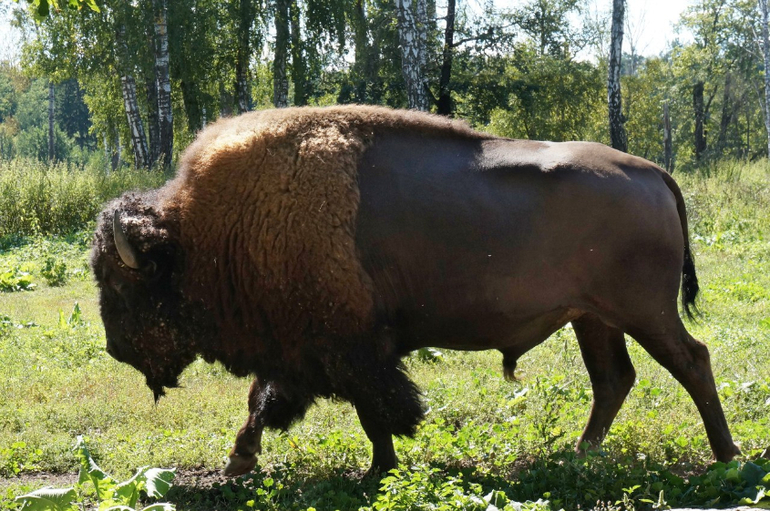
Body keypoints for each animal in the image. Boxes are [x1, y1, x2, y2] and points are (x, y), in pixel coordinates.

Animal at [91, 105, 740, 478]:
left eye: (121, 284)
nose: (117, 349)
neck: (207, 231)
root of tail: (653, 173)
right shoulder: (311, 349)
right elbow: (269, 402)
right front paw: (240, 461)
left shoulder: (347, 347)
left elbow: (371, 410)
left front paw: (377, 471)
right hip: (593, 317)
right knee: (613, 381)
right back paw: (578, 457)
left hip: (643, 311)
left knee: (692, 361)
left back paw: (726, 459)